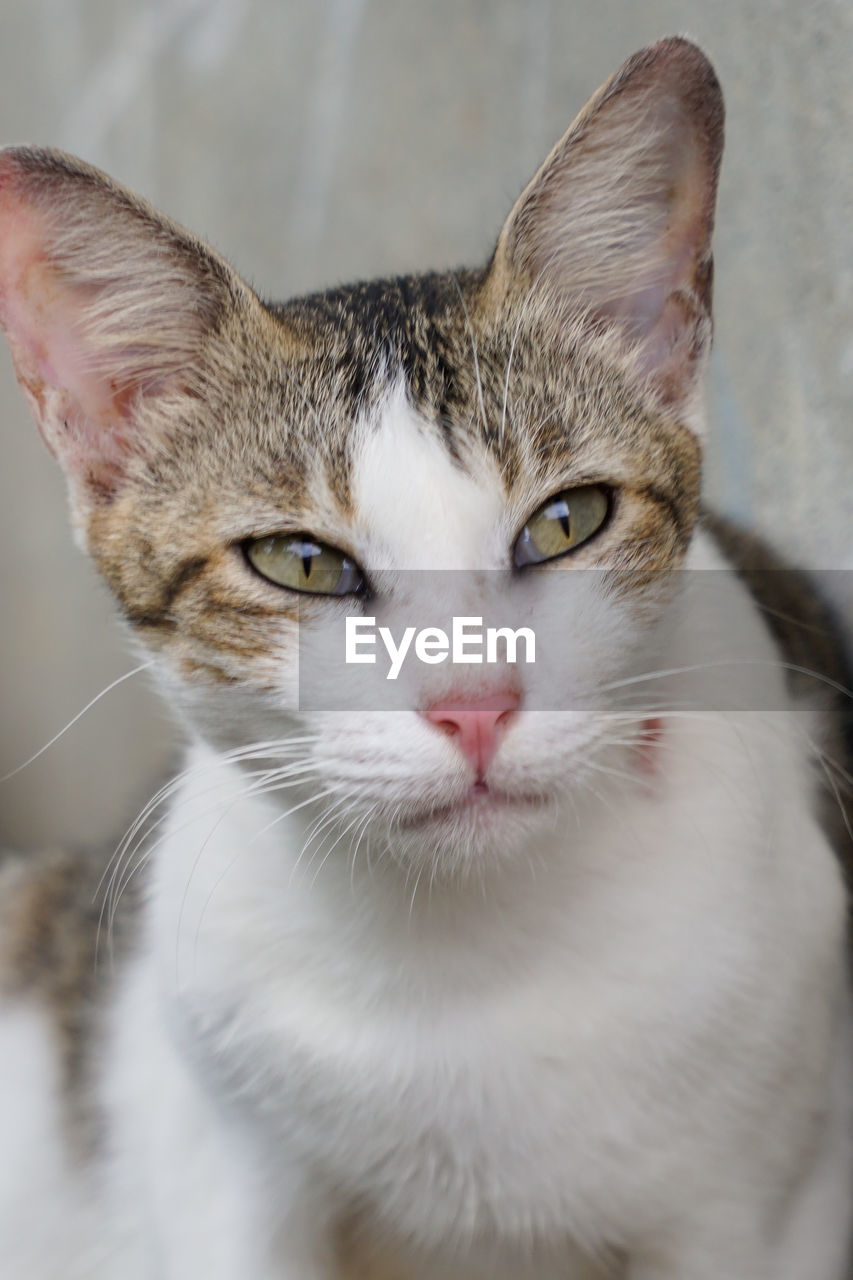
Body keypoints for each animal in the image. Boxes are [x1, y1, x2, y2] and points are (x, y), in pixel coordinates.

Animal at [1, 32, 850, 1280]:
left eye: (567, 520)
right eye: (301, 561)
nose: (476, 703)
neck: (462, 960)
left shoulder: (759, 1209)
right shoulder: (227, 1160)